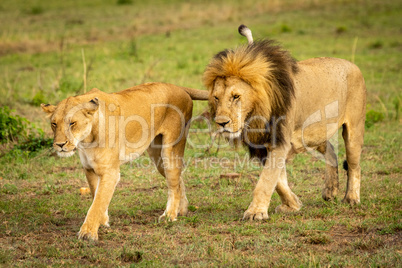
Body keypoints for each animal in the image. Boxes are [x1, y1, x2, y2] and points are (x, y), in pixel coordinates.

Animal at [42, 82, 209, 241]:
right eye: (54, 124)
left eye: (72, 123)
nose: (60, 144)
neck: (87, 140)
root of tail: (178, 87)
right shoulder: (89, 169)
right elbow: (96, 195)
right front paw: (103, 222)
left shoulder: (110, 172)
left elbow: (97, 202)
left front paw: (88, 233)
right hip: (157, 156)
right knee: (178, 178)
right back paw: (182, 209)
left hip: (170, 149)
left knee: (173, 181)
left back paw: (170, 215)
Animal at [203, 26, 366, 221]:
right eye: (216, 97)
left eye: (236, 96)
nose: (221, 123)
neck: (256, 113)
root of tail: (353, 65)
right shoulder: (263, 145)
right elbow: (278, 180)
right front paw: (293, 204)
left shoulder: (280, 140)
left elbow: (266, 180)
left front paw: (255, 212)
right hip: (314, 130)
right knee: (331, 151)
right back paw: (330, 190)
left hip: (354, 129)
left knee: (354, 165)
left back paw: (351, 198)